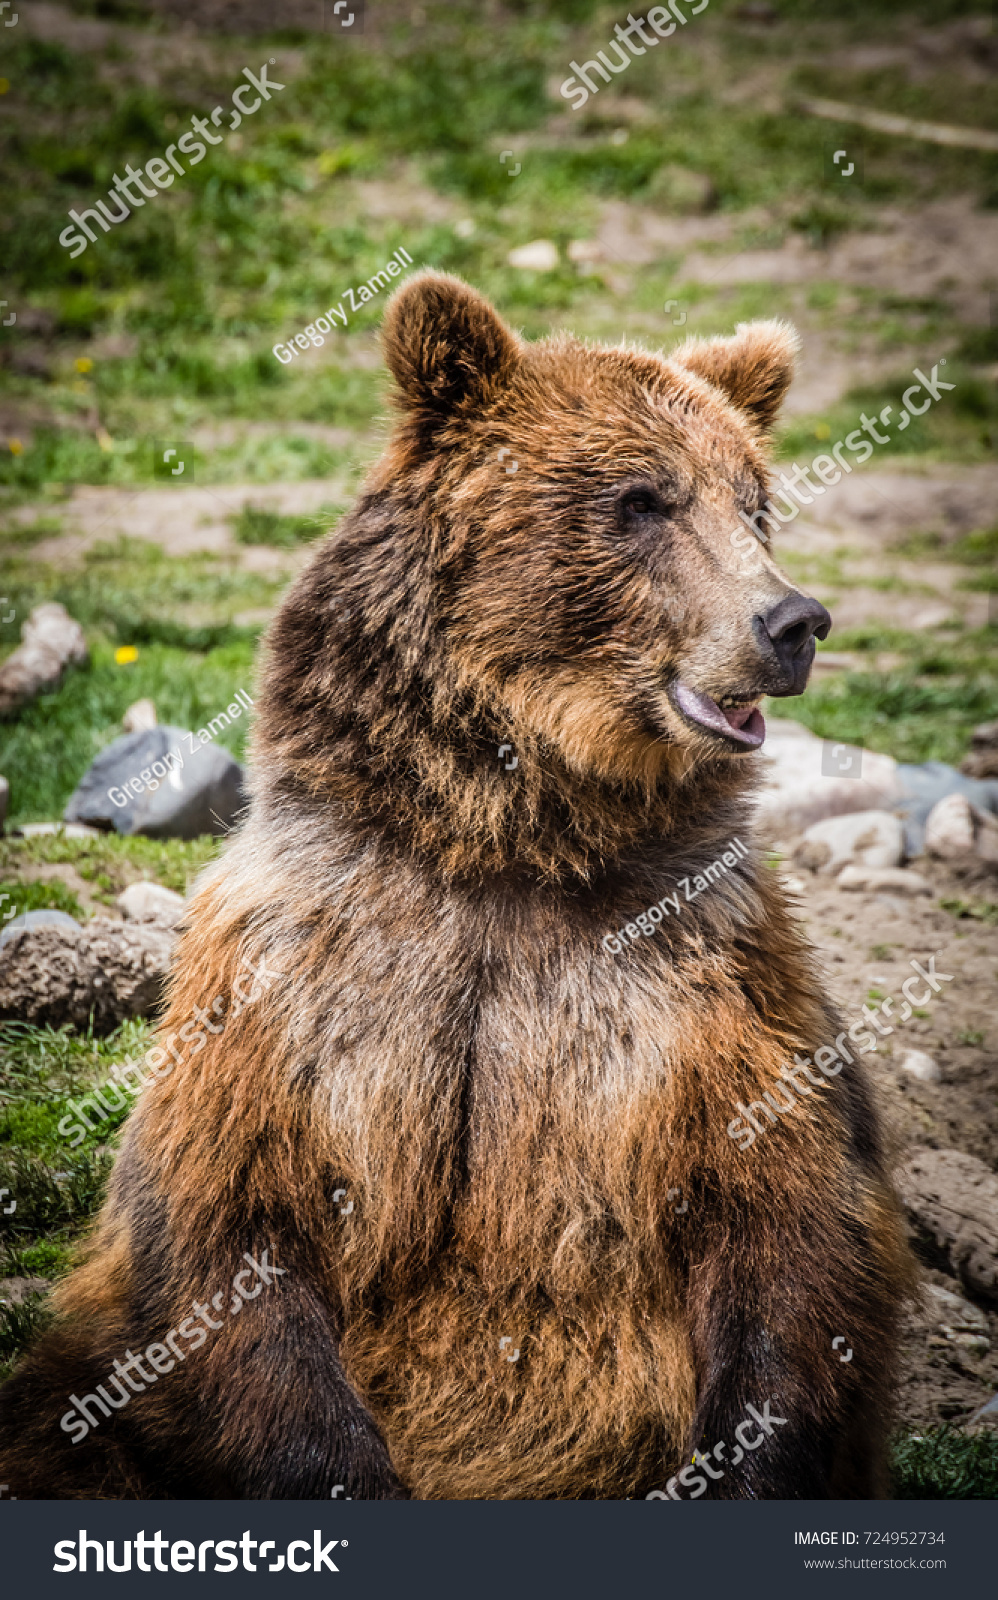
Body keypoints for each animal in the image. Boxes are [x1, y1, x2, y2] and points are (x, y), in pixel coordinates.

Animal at [0, 272, 908, 1497]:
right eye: (642, 499)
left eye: (754, 506)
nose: (791, 621)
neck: (507, 847)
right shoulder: (295, 968)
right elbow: (224, 1226)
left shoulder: (709, 969)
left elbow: (797, 1228)